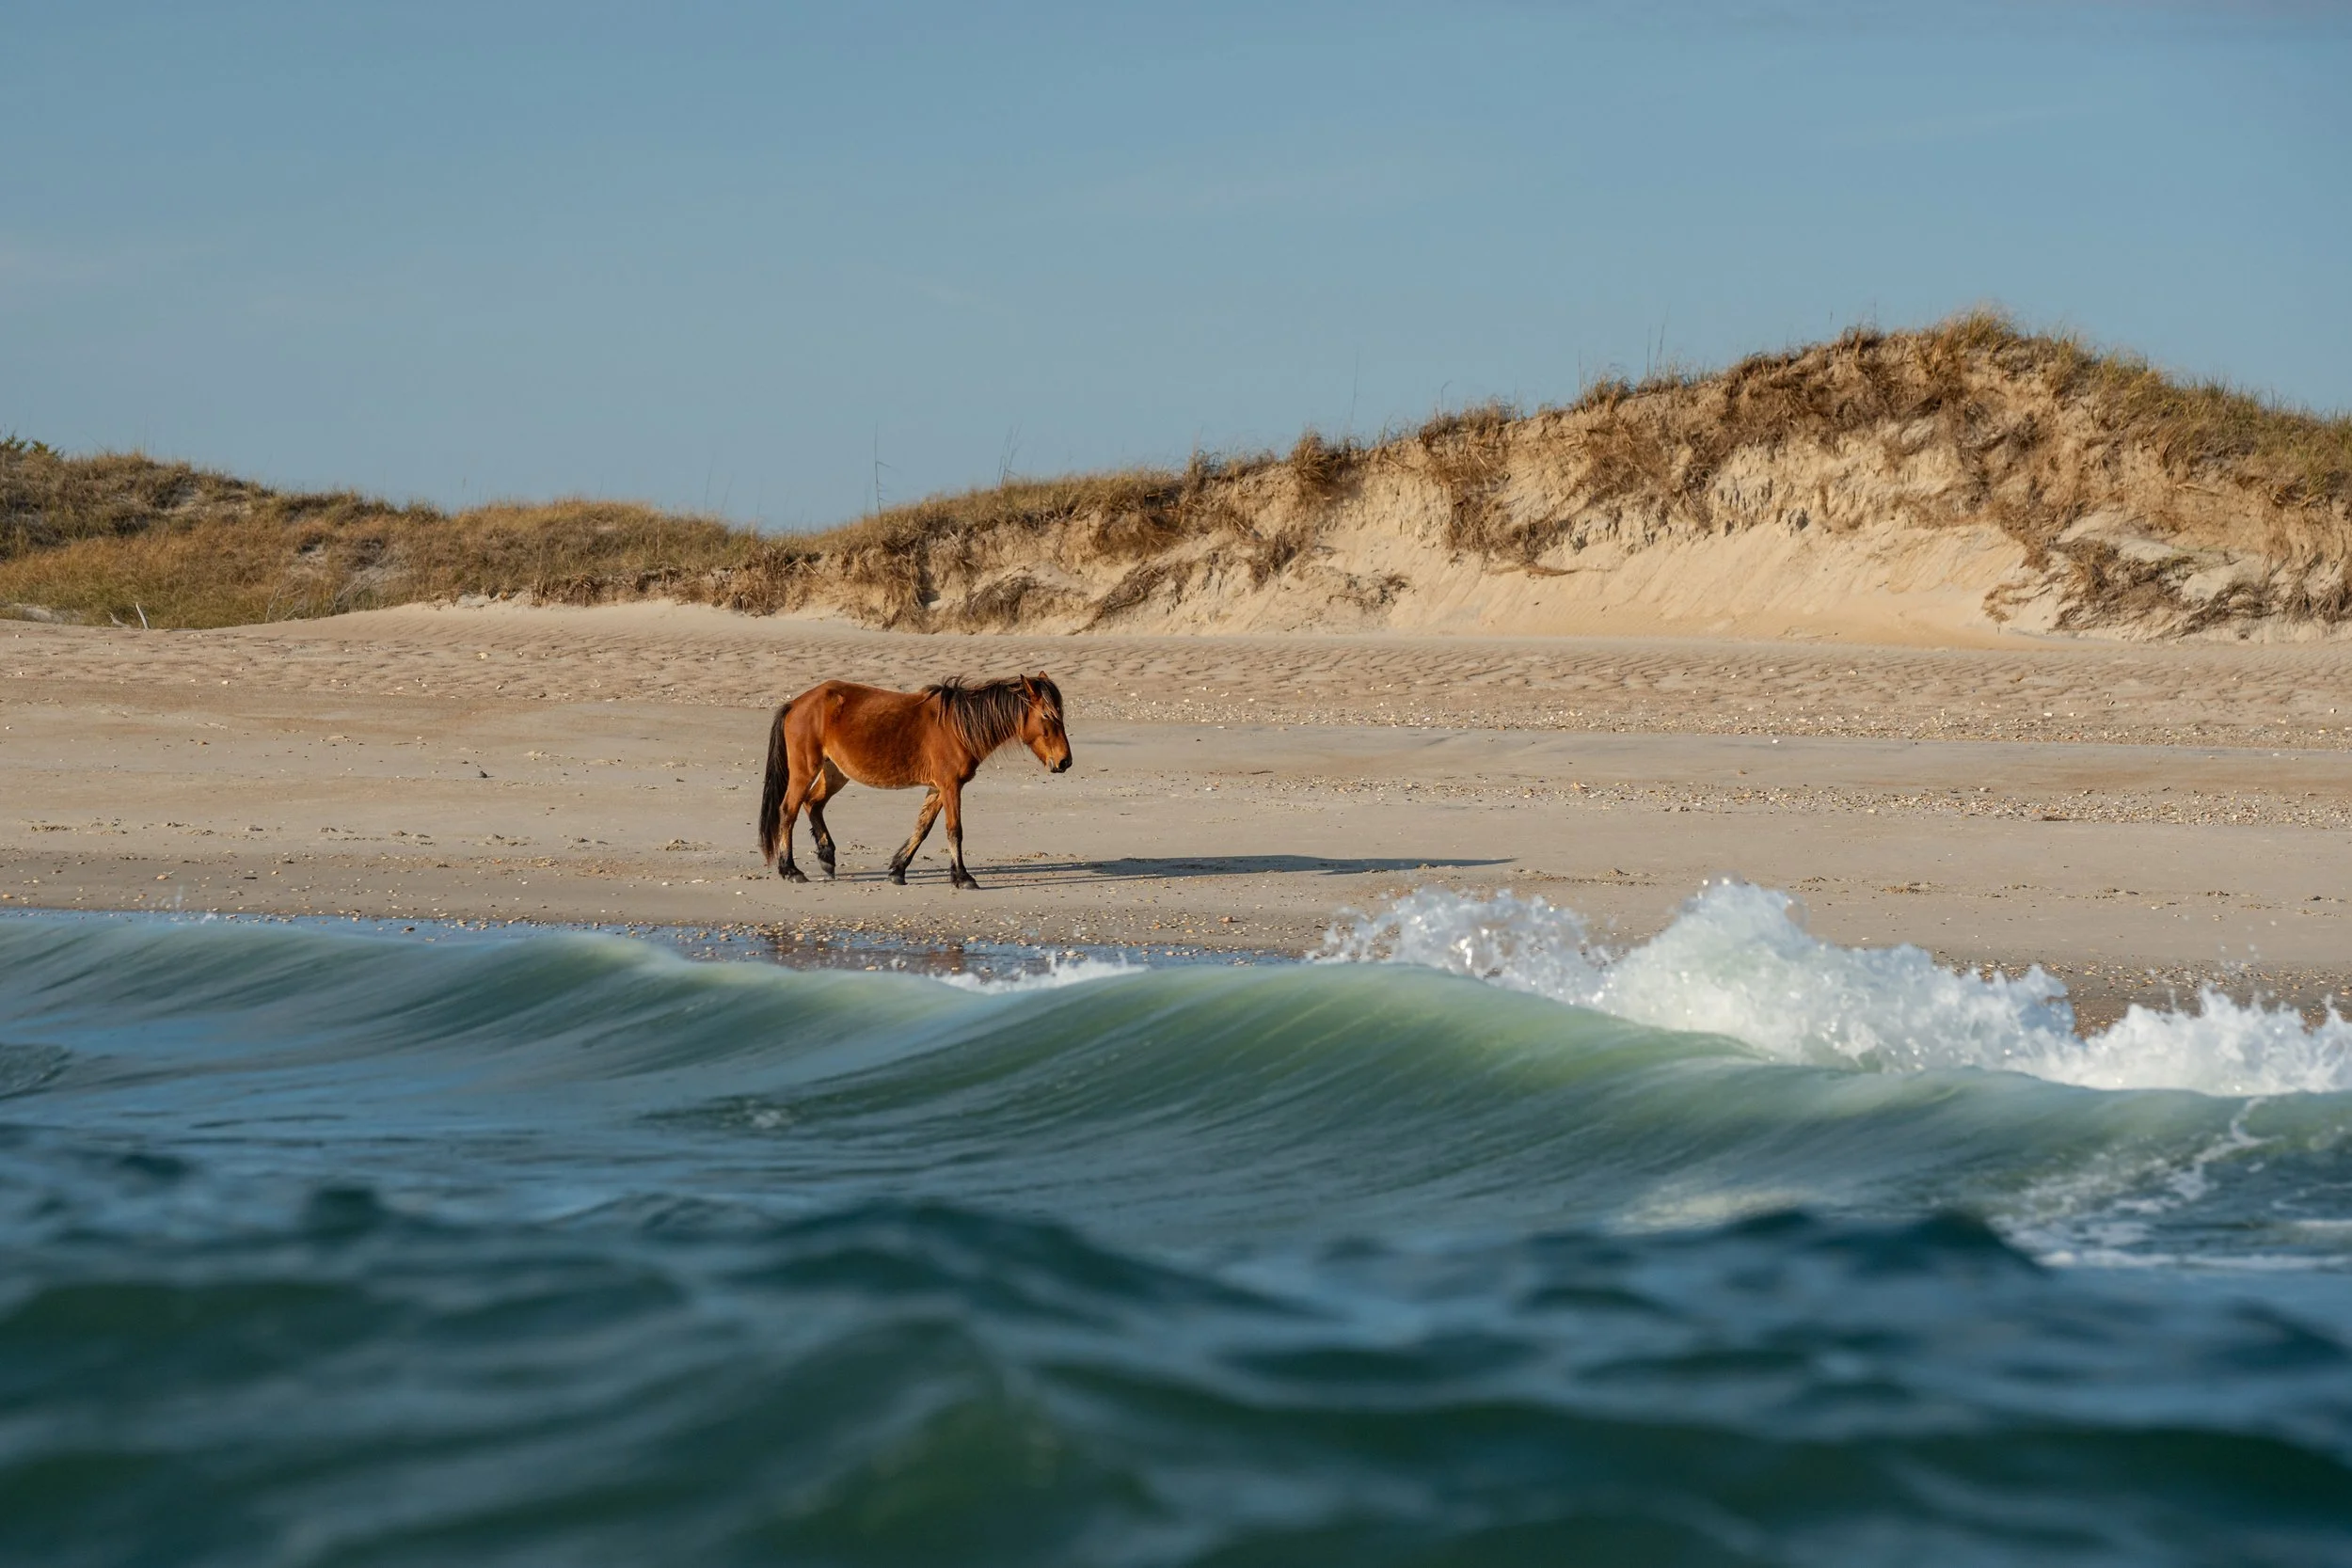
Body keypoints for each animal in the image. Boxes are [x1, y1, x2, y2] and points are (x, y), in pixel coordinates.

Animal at [758, 673, 1071, 889]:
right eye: (1047, 715)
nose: (1064, 761)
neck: (958, 727)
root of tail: (795, 703)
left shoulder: (938, 787)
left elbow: (922, 828)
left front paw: (898, 870)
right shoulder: (950, 786)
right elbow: (954, 831)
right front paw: (962, 877)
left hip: (835, 772)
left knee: (814, 803)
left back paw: (826, 857)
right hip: (805, 770)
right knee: (788, 811)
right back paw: (790, 870)